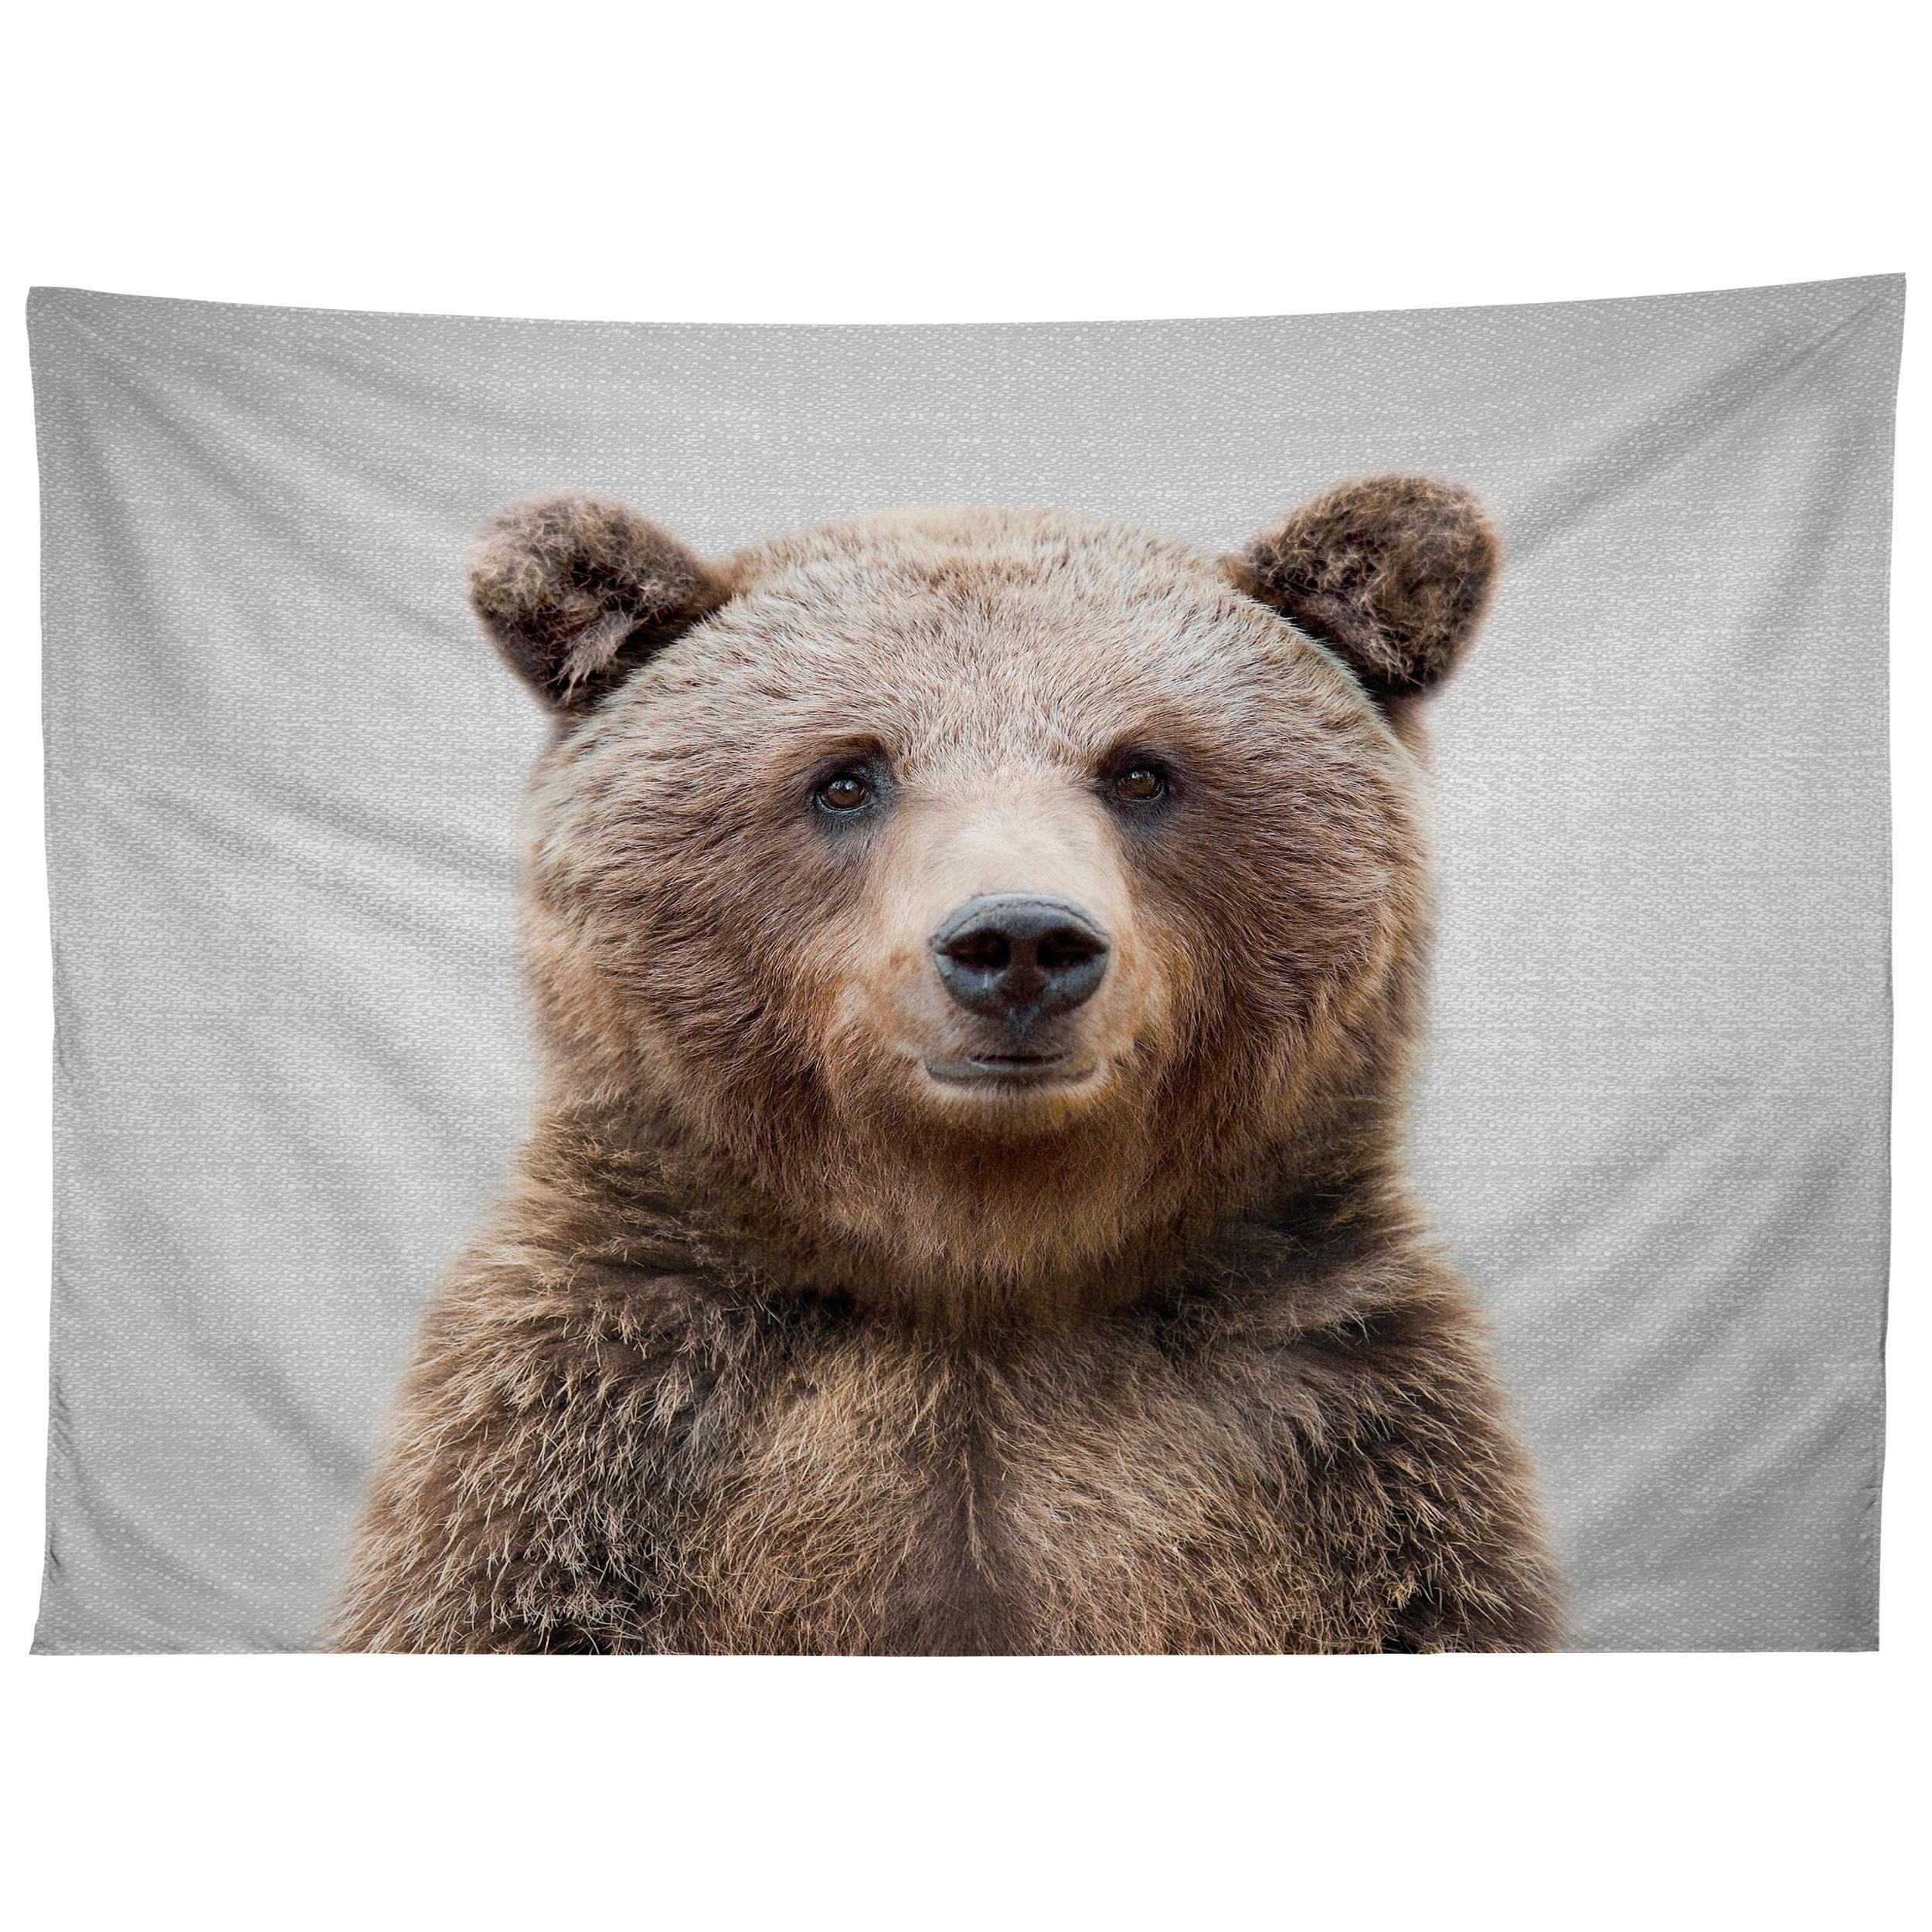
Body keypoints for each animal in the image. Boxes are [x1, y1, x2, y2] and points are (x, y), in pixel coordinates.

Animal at [329, 477, 1565, 1654]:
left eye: (1141, 772)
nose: (1019, 942)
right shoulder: (593, 1438)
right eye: (845, 777)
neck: (979, 1266)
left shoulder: (1350, 1453)